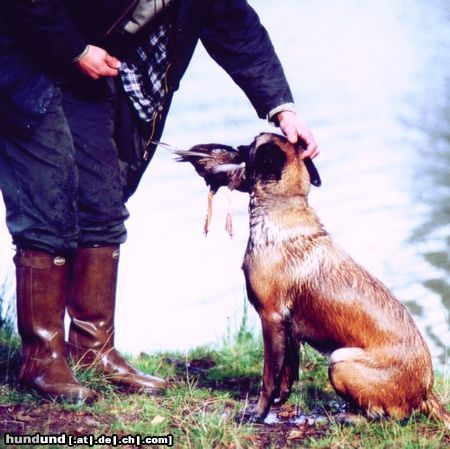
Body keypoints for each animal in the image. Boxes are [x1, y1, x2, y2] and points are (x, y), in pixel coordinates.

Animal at [179, 131, 450, 426]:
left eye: (251, 144)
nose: (235, 148)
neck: (282, 211)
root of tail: (426, 392)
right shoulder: (289, 328)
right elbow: (287, 374)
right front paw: (279, 402)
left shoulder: (270, 319)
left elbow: (268, 378)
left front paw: (257, 414)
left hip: (340, 360)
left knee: (387, 417)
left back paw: (349, 417)